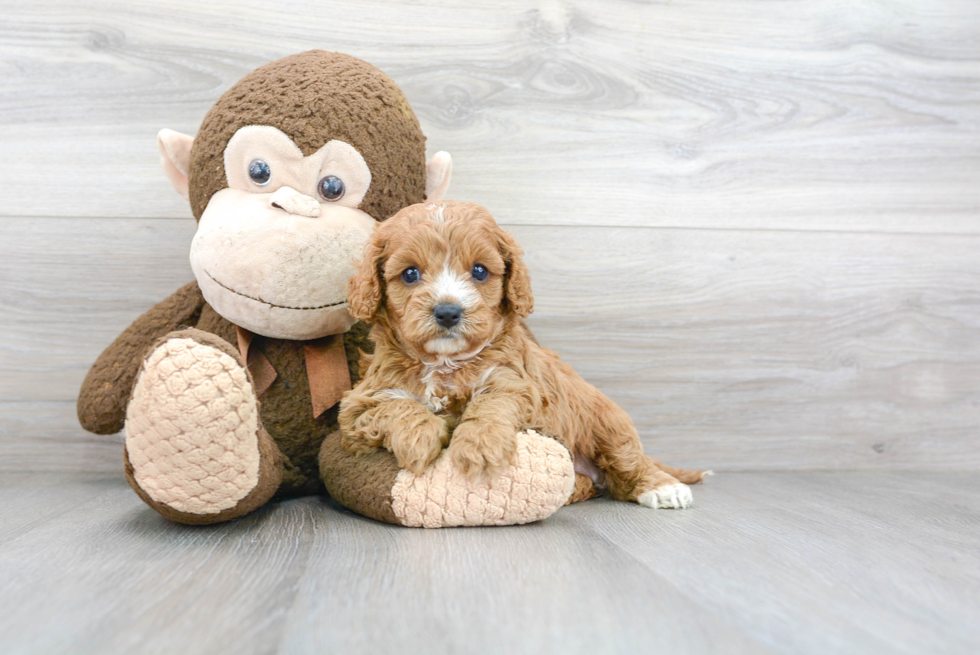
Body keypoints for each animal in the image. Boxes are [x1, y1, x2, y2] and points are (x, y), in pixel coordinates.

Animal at [336, 202, 704, 510]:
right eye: (410, 273)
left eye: (480, 271)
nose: (448, 312)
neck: (445, 364)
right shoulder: (359, 404)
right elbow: (397, 405)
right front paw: (419, 438)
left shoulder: (516, 383)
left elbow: (491, 404)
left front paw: (480, 447)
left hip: (607, 422)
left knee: (629, 460)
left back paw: (663, 488)